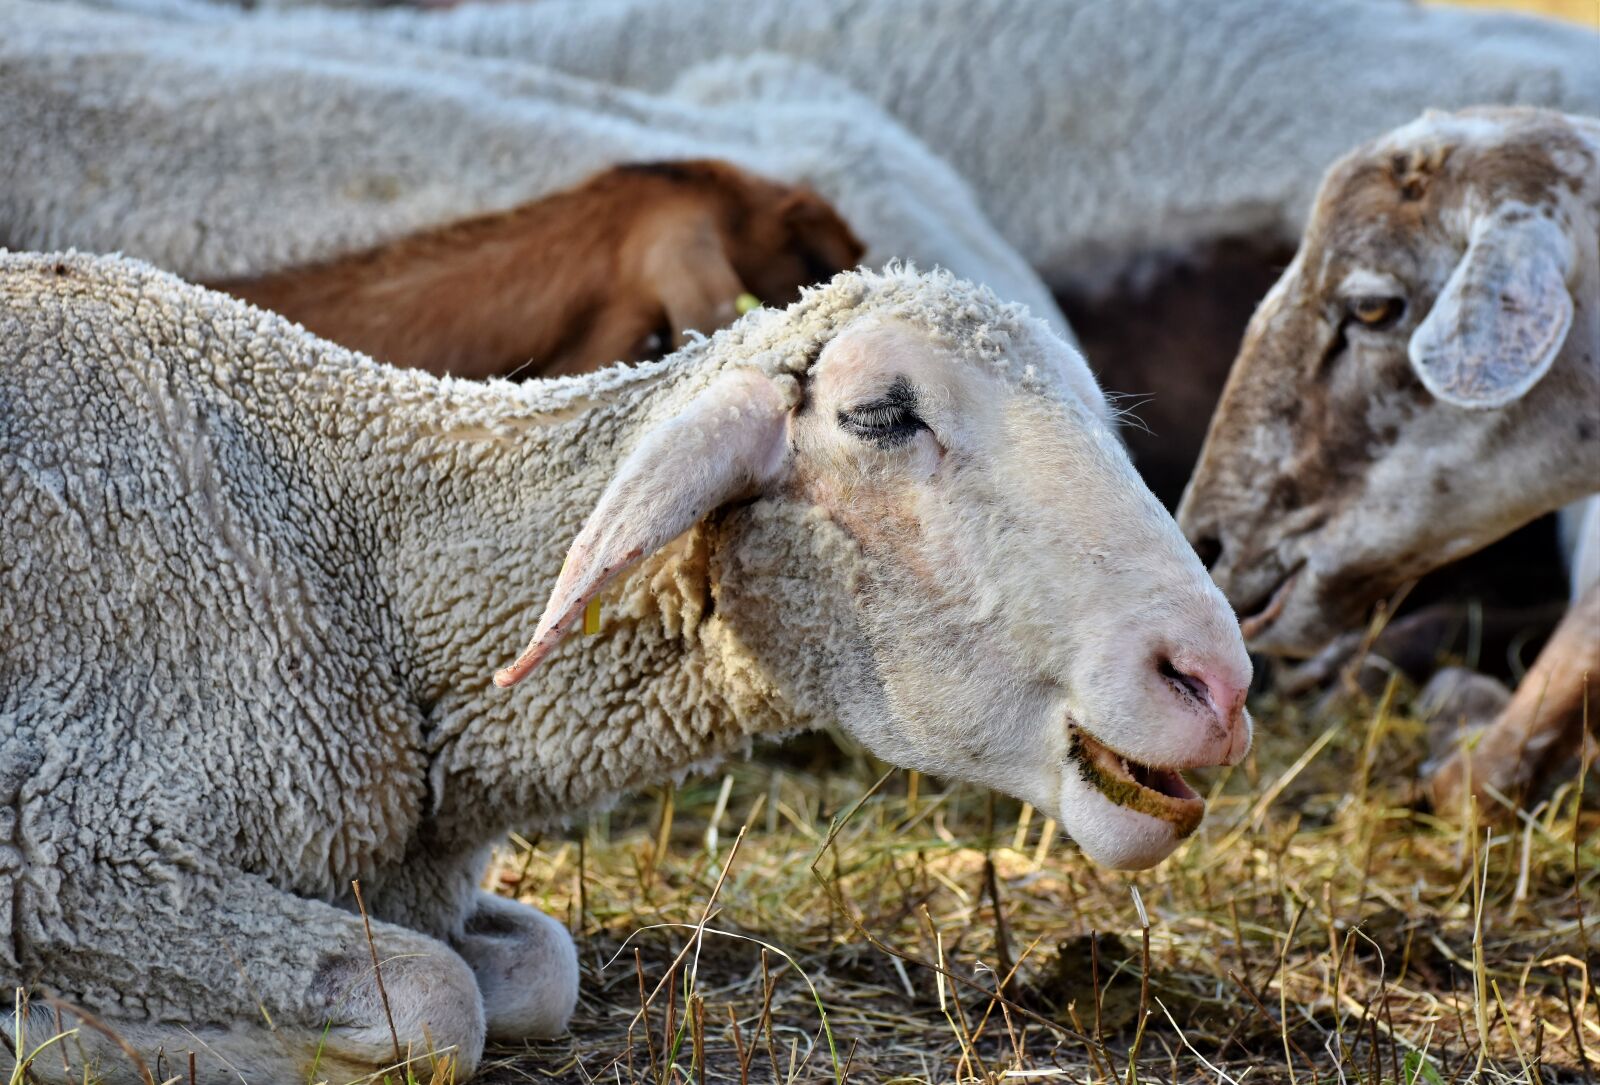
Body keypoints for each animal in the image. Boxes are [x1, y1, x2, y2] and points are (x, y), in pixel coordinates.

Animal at [1, 251, 1251, 1082]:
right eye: (885, 414)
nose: (1212, 681)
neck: (363, 547)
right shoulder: (76, 845)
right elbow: (438, 1003)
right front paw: (55, 1030)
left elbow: (534, 970)